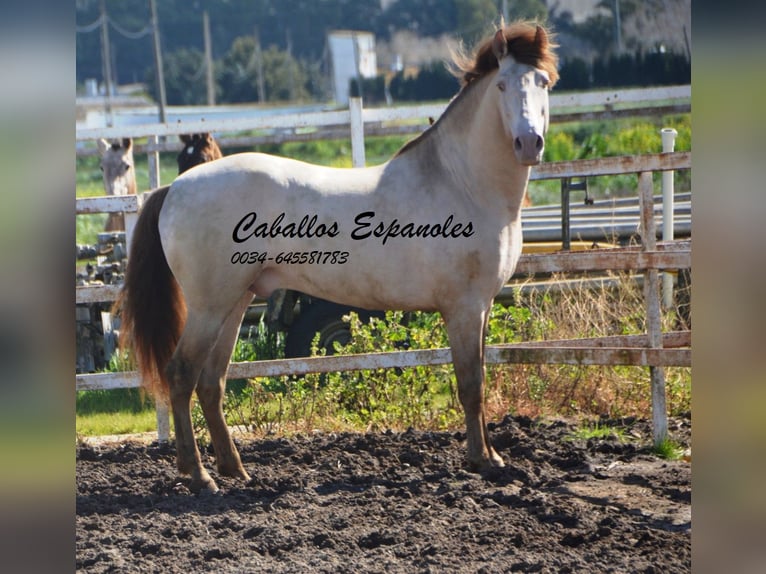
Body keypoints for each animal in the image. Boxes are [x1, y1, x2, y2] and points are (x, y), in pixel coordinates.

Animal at [121, 23, 564, 496]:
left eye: (543, 83)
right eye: (501, 85)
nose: (528, 143)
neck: (460, 182)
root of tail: (174, 187)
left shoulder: (480, 308)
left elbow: (479, 377)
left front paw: (492, 456)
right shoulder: (464, 307)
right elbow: (471, 385)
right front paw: (482, 461)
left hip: (235, 303)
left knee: (211, 382)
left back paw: (233, 469)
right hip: (209, 307)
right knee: (182, 374)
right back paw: (200, 476)